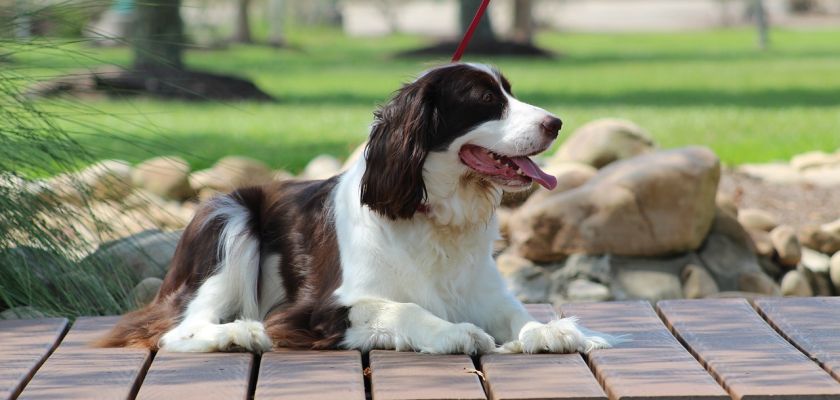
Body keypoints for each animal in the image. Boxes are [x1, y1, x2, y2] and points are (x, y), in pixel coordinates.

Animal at [100, 64, 616, 354]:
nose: (556, 123)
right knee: (175, 330)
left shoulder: (485, 292)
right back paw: (237, 334)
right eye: (488, 99)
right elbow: (400, 308)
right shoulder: (315, 312)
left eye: (508, 91)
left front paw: (551, 331)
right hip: (230, 218)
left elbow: (516, 315)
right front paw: (454, 333)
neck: (433, 215)